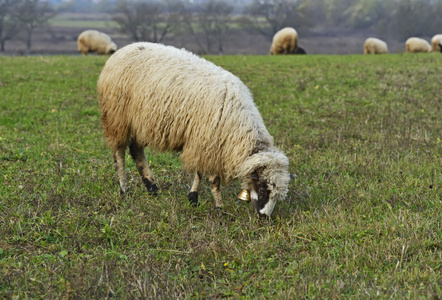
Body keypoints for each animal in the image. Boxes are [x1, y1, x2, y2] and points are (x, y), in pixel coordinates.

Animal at [97, 42, 292, 217]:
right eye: (263, 190)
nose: (264, 218)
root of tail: (121, 51)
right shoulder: (208, 141)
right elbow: (214, 180)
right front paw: (219, 208)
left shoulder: (204, 142)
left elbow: (199, 172)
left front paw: (193, 198)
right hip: (117, 117)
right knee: (119, 153)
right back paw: (124, 189)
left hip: (142, 123)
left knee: (136, 150)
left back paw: (152, 188)